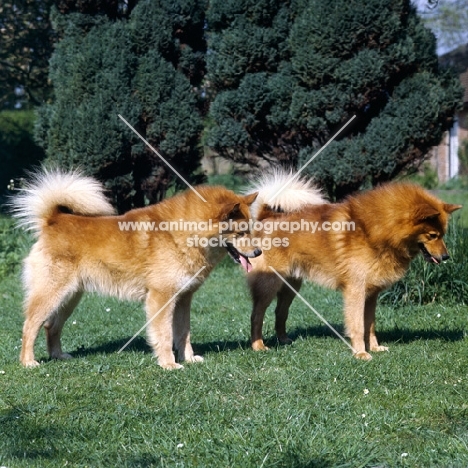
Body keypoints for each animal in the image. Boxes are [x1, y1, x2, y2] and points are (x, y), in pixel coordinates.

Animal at [12, 169, 261, 369]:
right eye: (241, 232)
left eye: (250, 229)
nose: (258, 252)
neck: (181, 235)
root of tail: (54, 220)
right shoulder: (161, 299)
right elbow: (164, 335)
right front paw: (169, 364)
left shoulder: (183, 298)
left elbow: (183, 334)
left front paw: (189, 359)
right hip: (51, 295)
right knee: (29, 326)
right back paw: (28, 362)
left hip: (70, 298)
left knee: (51, 326)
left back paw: (58, 355)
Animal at [245, 170, 461, 360]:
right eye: (432, 235)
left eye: (443, 234)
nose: (446, 257)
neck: (374, 230)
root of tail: (266, 216)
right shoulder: (355, 292)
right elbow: (357, 326)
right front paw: (360, 353)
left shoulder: (371, 294)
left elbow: (370, 325)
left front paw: (374, 347)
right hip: (269, 284)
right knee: (256, 315)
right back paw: (258, 346)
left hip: (291, 286)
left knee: (280, 313)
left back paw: (283, 340)